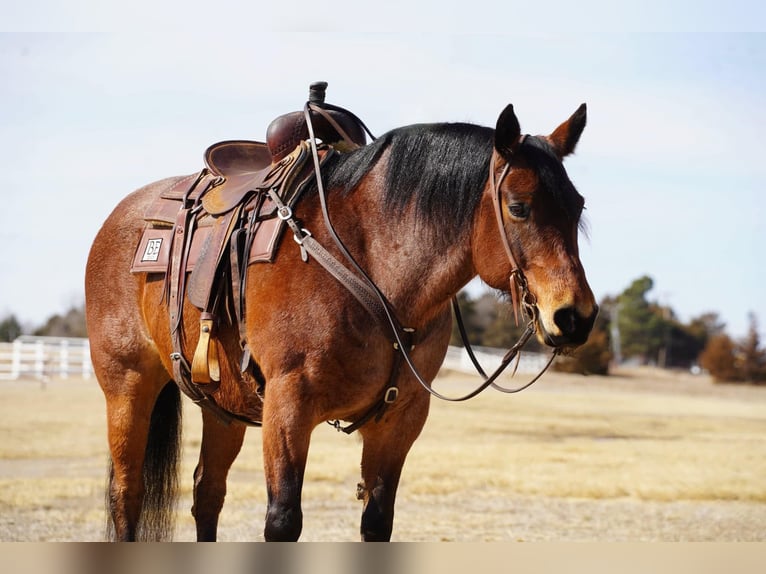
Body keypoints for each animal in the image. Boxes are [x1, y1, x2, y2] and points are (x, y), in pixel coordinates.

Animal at [85, 95, 600, 544]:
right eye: (518, 207)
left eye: (578, 206)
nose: (574, 315)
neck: (373, 265)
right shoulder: (288, 406)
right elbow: (282, 520)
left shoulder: (401, 419)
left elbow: (376, 521)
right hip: (128, 387)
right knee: (127, 493)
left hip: (222, 408)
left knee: (206, 492)